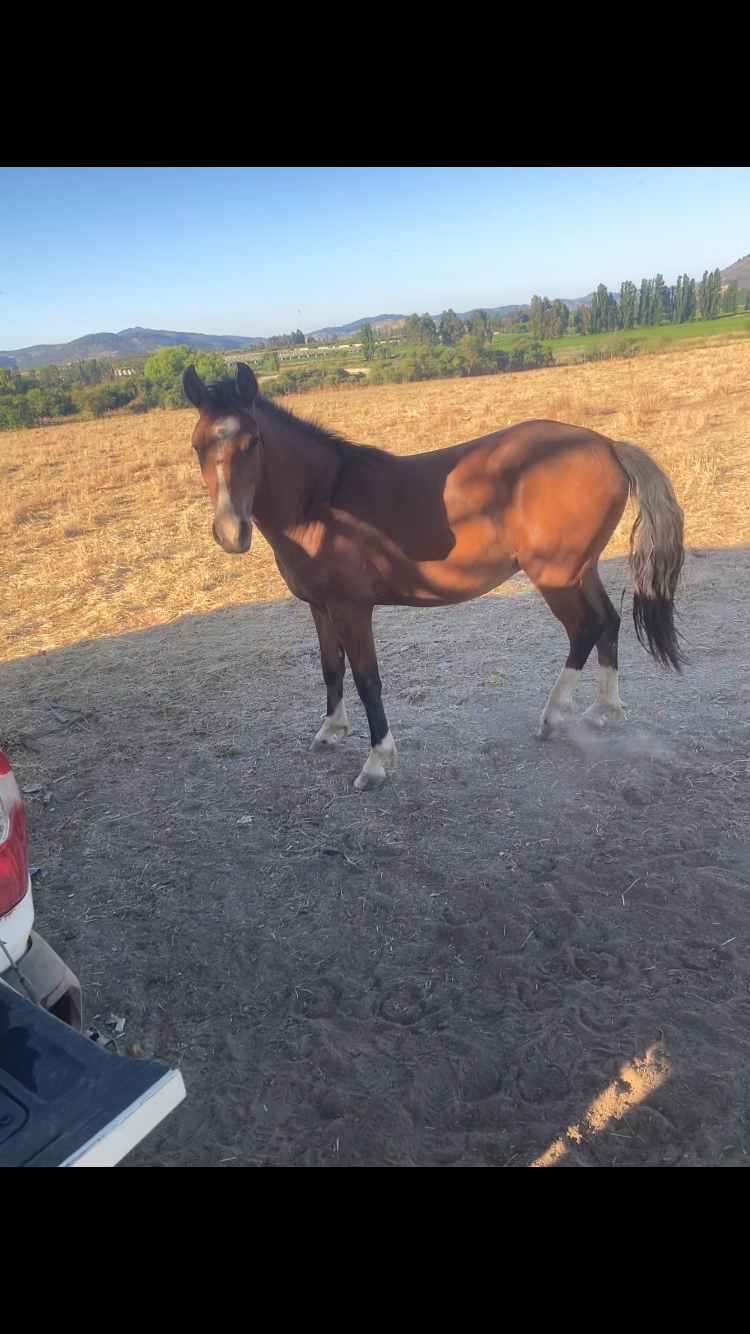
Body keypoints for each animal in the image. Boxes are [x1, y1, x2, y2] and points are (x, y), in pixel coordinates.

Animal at [183, 363, 684, 792]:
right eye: (196, 445)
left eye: (252, 441)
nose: (230, 532)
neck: (321, 502)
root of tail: (607, 445)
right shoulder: (320, 607)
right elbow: (331, 667)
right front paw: (330, 731)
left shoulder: (351, 609)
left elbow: (367, 679)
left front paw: (377, 762)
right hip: (582, 570)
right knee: (609, 623)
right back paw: (601, 712)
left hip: (557, 576)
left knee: (586, 628)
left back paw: (553, 716)